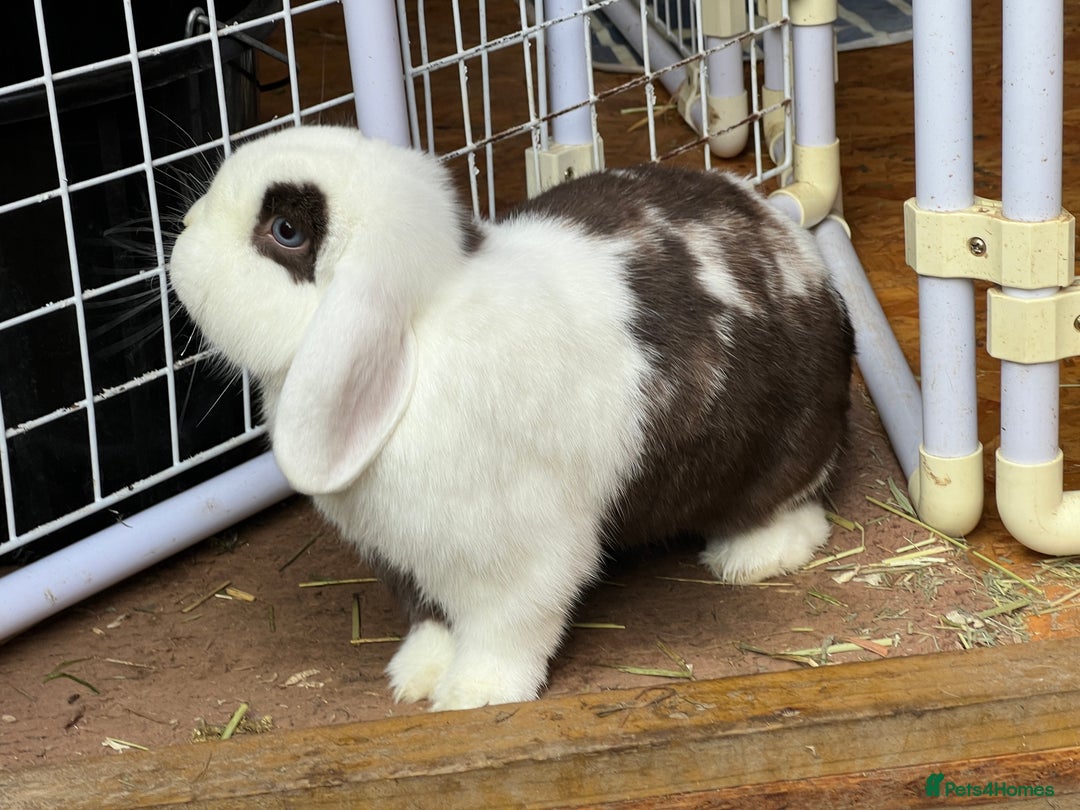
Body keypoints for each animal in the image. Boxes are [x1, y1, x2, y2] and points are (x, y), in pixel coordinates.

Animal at [169, 125, 854, 712]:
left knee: (794, 504)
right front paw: (414, 679)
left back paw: (754, 557)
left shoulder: (521, 559)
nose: (183, 227)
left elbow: (508, 631)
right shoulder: (407, 561)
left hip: (782, 447)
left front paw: (472, 695)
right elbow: (433, 621)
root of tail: (792, 241)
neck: (416, 335)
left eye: (285, 230)